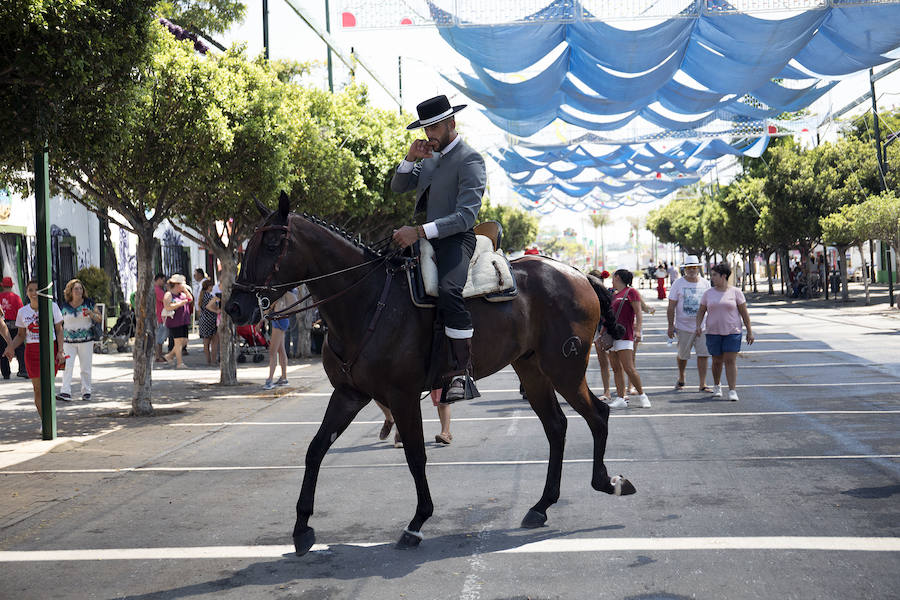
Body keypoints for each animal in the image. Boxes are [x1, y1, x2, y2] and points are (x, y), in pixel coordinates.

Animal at [225, 195, 632, 556]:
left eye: (272, 243)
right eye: (247, 245)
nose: (234, 307)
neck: (368, 301)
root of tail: (580, 275)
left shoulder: (402, 395)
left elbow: (416, 455)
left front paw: (417, 523)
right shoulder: (348, 394)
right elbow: (315, 449)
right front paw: (301, 528)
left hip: (564, 369)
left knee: (597, 415)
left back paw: (607, 482)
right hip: (532, 370)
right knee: (556, 426)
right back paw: (541, 506)